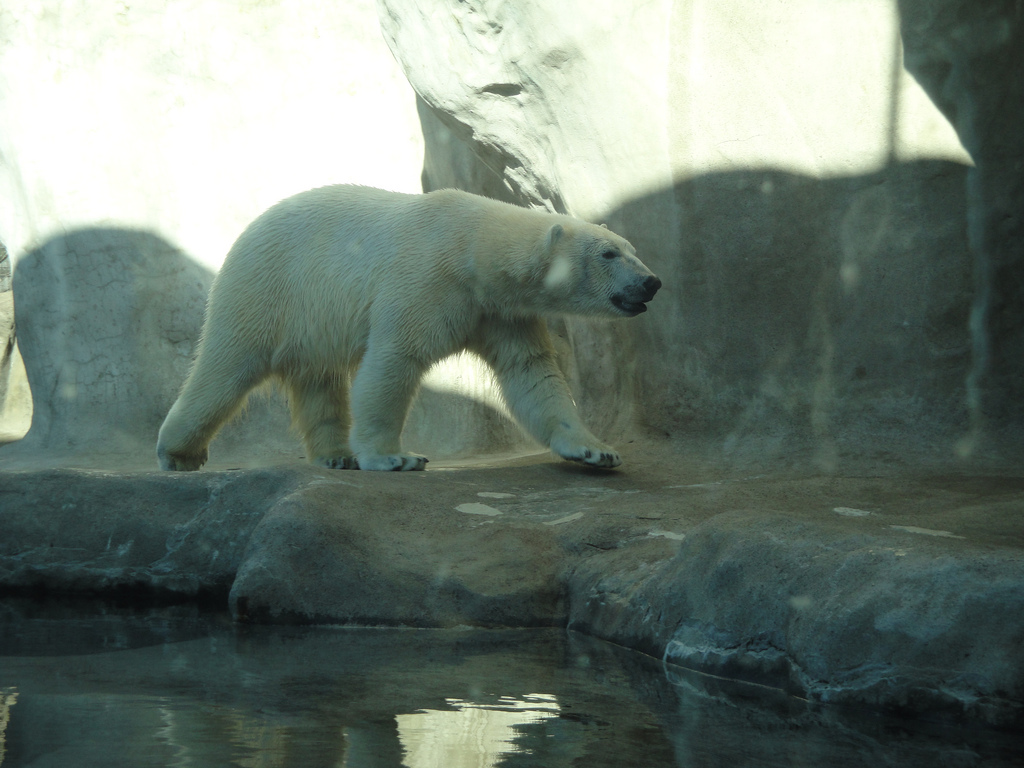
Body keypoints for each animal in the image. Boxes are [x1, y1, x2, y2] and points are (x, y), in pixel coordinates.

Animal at [157, 185, 661, 472]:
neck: (473, 250)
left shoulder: (500, 312)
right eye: (608, 254)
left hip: (310, 321)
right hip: (268, 291)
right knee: (225, 370)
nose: (651, 282)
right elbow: (394, 360)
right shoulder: (427, 281)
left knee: (319, 382)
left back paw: (336, 455)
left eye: (632, 249)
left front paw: (596, 451)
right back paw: (177, 452)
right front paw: (394, 457)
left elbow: (532, 374)